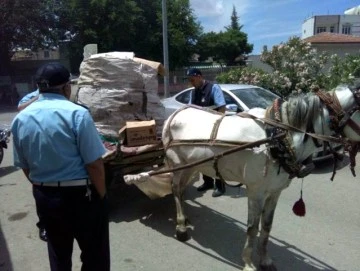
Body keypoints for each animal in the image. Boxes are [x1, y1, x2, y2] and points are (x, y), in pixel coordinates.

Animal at [124, 86, 360, 271]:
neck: (276, 139)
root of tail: (175, 114)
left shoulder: (275, 192)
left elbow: (267, 226)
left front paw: (265, 260)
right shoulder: (256, 191)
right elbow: (252, 228)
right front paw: (248, 263)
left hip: (193, 166)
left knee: (180, 191)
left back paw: (186, 219)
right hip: (177, 165)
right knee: (175, 190)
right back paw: (181, 228)